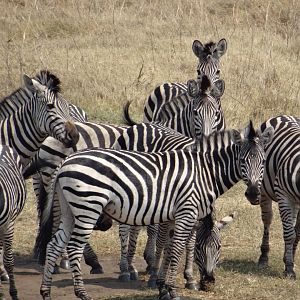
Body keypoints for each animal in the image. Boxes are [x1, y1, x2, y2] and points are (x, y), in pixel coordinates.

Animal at [38, 120, 274, 300]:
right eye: (242, 160)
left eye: (263, 161)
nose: (254, 194)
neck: (205, 171)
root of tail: (67, 161)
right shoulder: (186, 212)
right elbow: (177, 249)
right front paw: (171, 290)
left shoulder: (175, 215)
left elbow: (169, 248)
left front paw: (163, 287)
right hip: (88, 207)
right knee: (74, 247)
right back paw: (83, 293)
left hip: (70, 209)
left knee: (54, 244)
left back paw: (46, 292)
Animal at [247, 115, 300, 278]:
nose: (251, 196)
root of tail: (283, 115)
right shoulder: (284, 196)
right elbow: (289, 234)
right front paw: (289, 269)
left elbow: (296, 232)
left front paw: (290, 260)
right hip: (264, 192)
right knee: (267, 219)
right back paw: (263, 257)